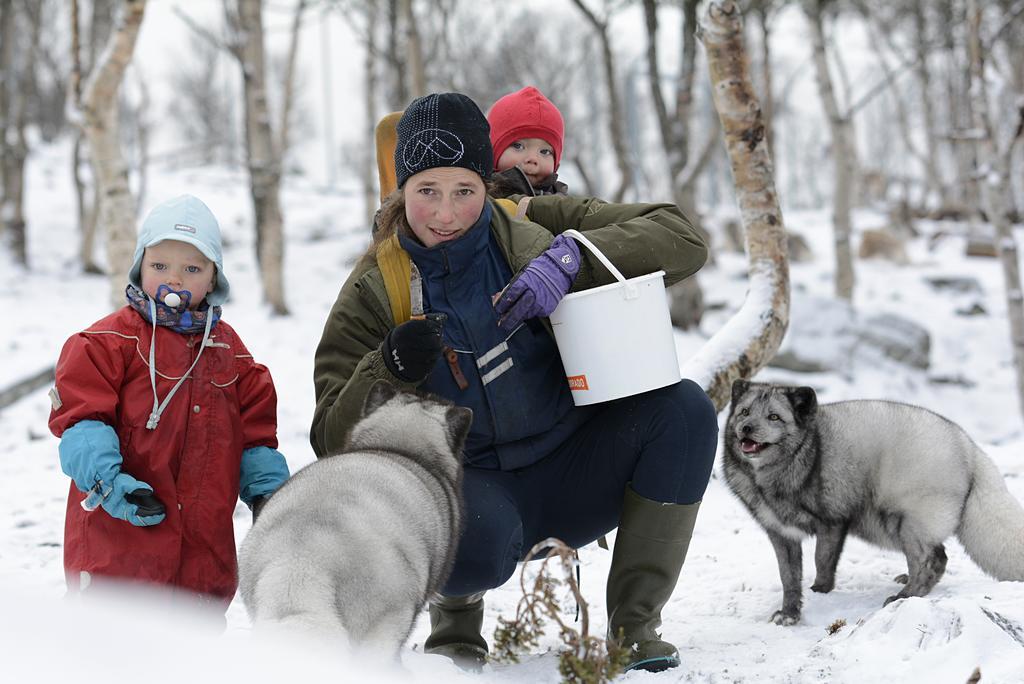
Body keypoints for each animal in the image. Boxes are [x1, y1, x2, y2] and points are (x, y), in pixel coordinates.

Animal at [720, 378, 1024, 626]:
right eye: (744, 412)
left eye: (774, 417)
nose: (746, 428)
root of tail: (969, 446)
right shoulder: (780, 533)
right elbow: (788, 577)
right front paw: (790, 613)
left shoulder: (833, 521)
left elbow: (822, 562)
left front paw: (820, 592)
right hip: (889, 525)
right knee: (927, 558)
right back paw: (908, 582)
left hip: (904, 522)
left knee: (936, 559)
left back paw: (906, 595)